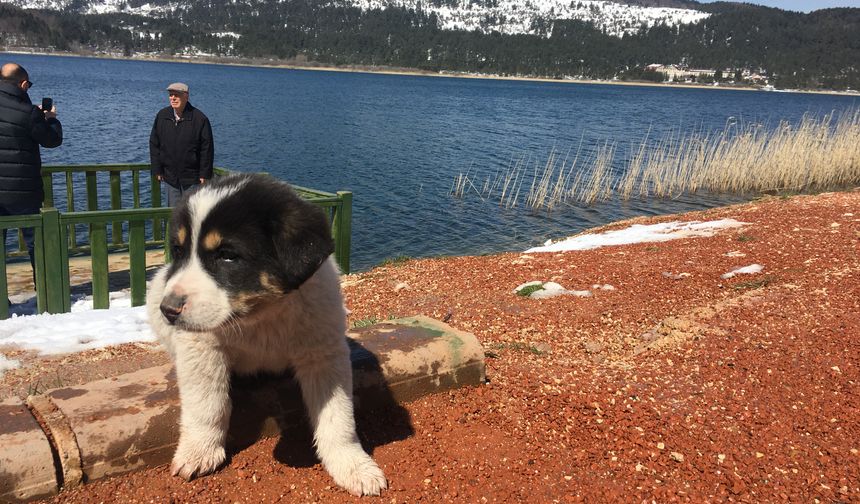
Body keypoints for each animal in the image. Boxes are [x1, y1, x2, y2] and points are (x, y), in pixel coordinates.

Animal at [147, 173, 386, 496]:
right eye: (179, 251)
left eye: (227, 256)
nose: (169, 310)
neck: (260, 317)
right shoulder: (201, 347)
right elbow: (206, 405)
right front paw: (199, 451)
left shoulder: (324, 352)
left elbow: (338, 415)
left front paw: (352, 464)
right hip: (157, 288)